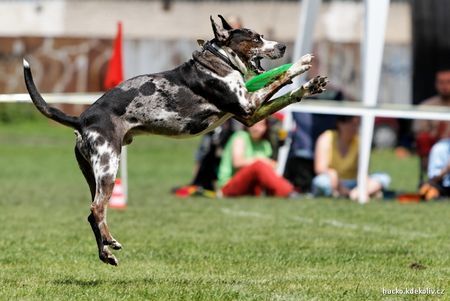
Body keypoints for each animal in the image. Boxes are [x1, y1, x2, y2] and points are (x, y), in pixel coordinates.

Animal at [23, 14, 326, 264]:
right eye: (255, 37)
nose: (283, 47)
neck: (219, 61)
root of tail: (82, 119)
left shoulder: (250, 116)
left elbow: (285, 95)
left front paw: (309, 86)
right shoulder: (249, 105)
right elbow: (279, 78)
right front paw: (301, 64)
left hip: (92, 173)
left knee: (92, 214)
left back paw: (105, 253)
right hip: (108, 165)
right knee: (97, 208)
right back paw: (110, 240)